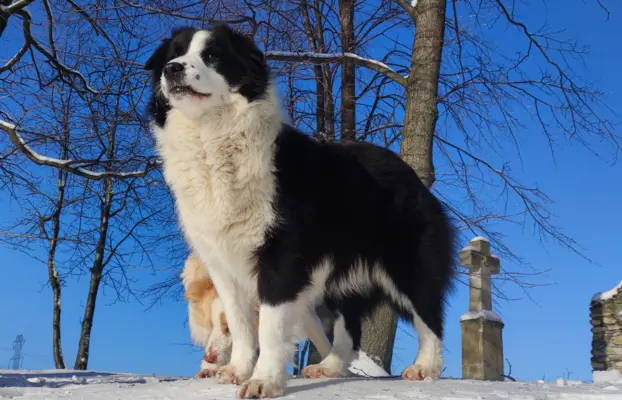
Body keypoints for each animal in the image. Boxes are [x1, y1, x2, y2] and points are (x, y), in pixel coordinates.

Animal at [148, 24, 456, 396]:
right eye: (173, 54)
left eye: (212, 55)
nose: (172, 69)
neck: (212, 136)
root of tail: (408, 172)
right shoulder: (223, 261)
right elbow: (240, 322)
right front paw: (237, 371)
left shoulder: (279, 257)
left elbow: (269, 326)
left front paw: (263, 381)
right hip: (343, 276)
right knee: (349, 327)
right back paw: (330, 367)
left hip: (407, 262)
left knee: (429, 314)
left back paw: (425, 366)